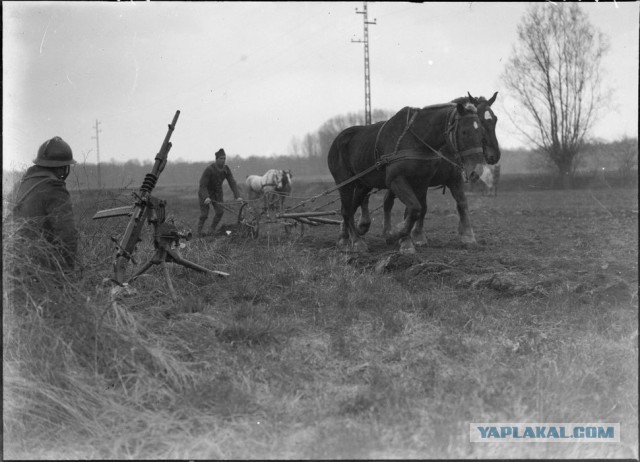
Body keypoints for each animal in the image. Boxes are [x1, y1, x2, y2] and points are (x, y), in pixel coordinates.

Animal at [328, 100, 482, 256]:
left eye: (480, 132)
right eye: (464, 132)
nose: (475, 171)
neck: (416, 141)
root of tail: (338, 138)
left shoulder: (422, 182)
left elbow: (415, 210)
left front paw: (403, 240)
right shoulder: (396, 180)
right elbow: (414, 208)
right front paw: (397, 235)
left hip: (363, 182)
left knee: (354, 205)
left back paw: (346, 237)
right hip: (345, 182)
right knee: (347, 210)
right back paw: (356, 241)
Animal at [380, 91, 500, 247]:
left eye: (495, 119)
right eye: (481, 121)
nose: (495, 156)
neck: (444, 148)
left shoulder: (454, 179)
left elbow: (462, 203)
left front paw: (467, 235)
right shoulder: (421, 181)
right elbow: (422, 206)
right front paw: (418, 236)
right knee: (387, 201)